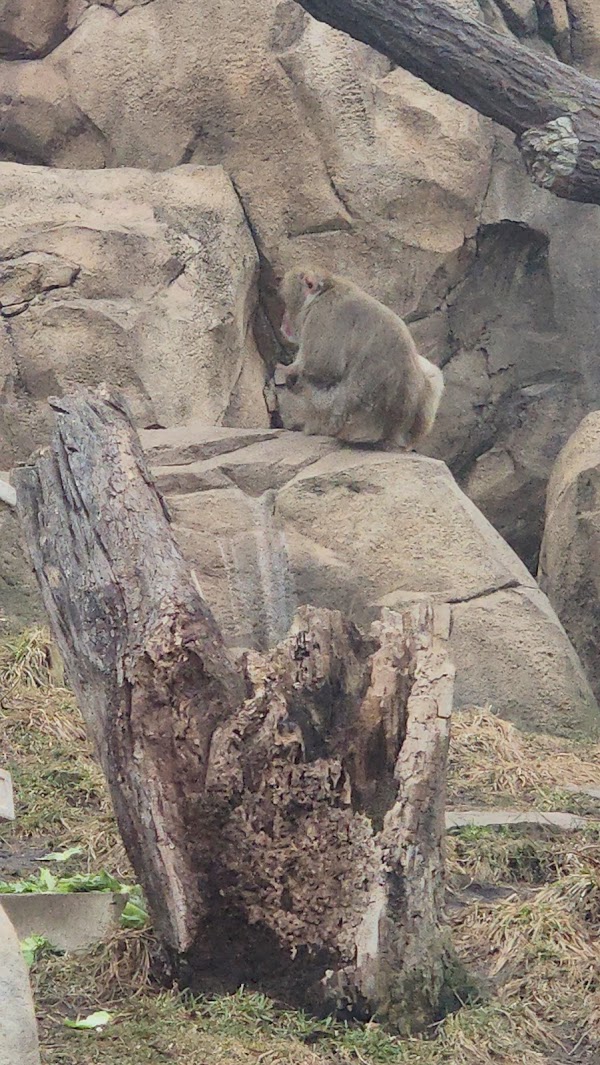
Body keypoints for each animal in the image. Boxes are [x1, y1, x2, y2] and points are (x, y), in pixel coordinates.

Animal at [272, 266, 444, 450]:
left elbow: (323, 367)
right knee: (432, 373)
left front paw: (289, 370)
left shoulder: (322, 314)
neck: (327, 288)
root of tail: (390, 434)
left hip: (333, 416)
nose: (283, 321)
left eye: (286, 304)